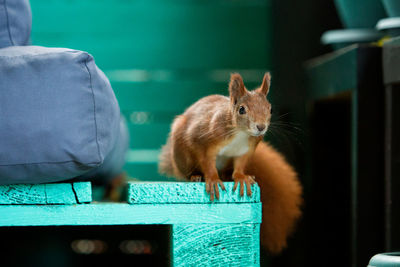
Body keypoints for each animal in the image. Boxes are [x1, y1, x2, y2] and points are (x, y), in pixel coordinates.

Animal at [158, 72, 302, 254]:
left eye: (270, 109)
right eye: (242, 109)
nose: (261, 127)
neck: (240, 132)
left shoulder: (245, 150)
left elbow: (239, 166)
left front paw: (241, 177)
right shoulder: (202, 140)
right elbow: (206, 161)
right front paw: (213, 179)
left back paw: (227, 176)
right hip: (181, 156)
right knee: (187, 172)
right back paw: (195, 176)